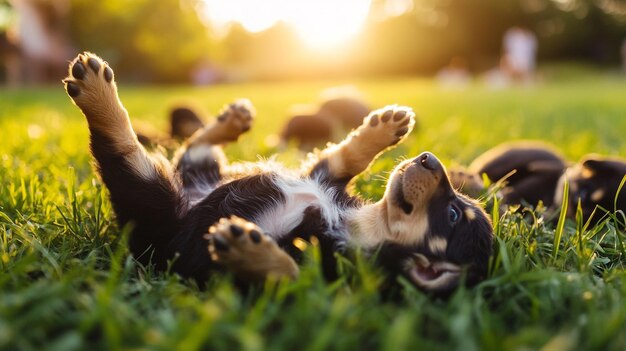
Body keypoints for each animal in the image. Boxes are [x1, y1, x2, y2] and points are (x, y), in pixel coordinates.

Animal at [63, 52, 492, 294]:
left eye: (454, 214)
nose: (430, 160)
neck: (347, 221)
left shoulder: (200, 264)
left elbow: (290, 274)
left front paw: (251, 252)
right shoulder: (324, 179)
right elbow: (343, 159)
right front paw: (383, 129)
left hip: (153, 207)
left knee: (123, 151)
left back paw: (96, 91)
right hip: (191, 178)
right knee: (193, 148)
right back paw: (232, 120)